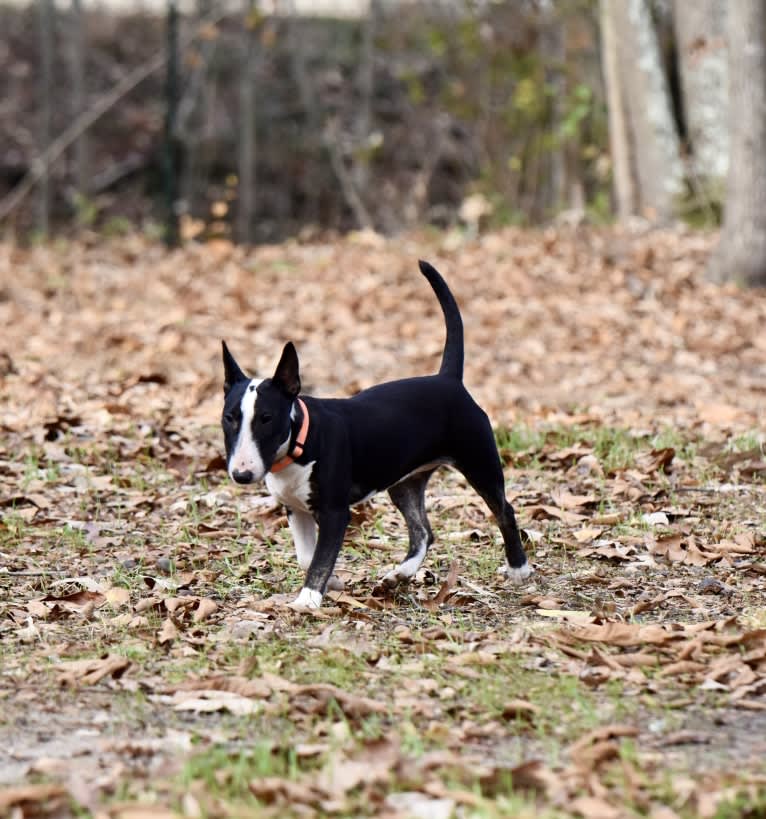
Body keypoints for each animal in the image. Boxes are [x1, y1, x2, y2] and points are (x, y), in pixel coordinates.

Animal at [222, 262, 536, 608]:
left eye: (267, 419)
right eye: (229, 418)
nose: (241, 474)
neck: (299, 441)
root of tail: (448, 379)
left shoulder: (335, 512)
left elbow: (319, 557)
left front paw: (308, 600)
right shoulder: (295, 508)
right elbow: (307, 556)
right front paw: (332, 583)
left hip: (479, 460)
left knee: (504, 510)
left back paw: (518, 568)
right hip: (405, 482)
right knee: (424, 531)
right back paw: (399, 575)